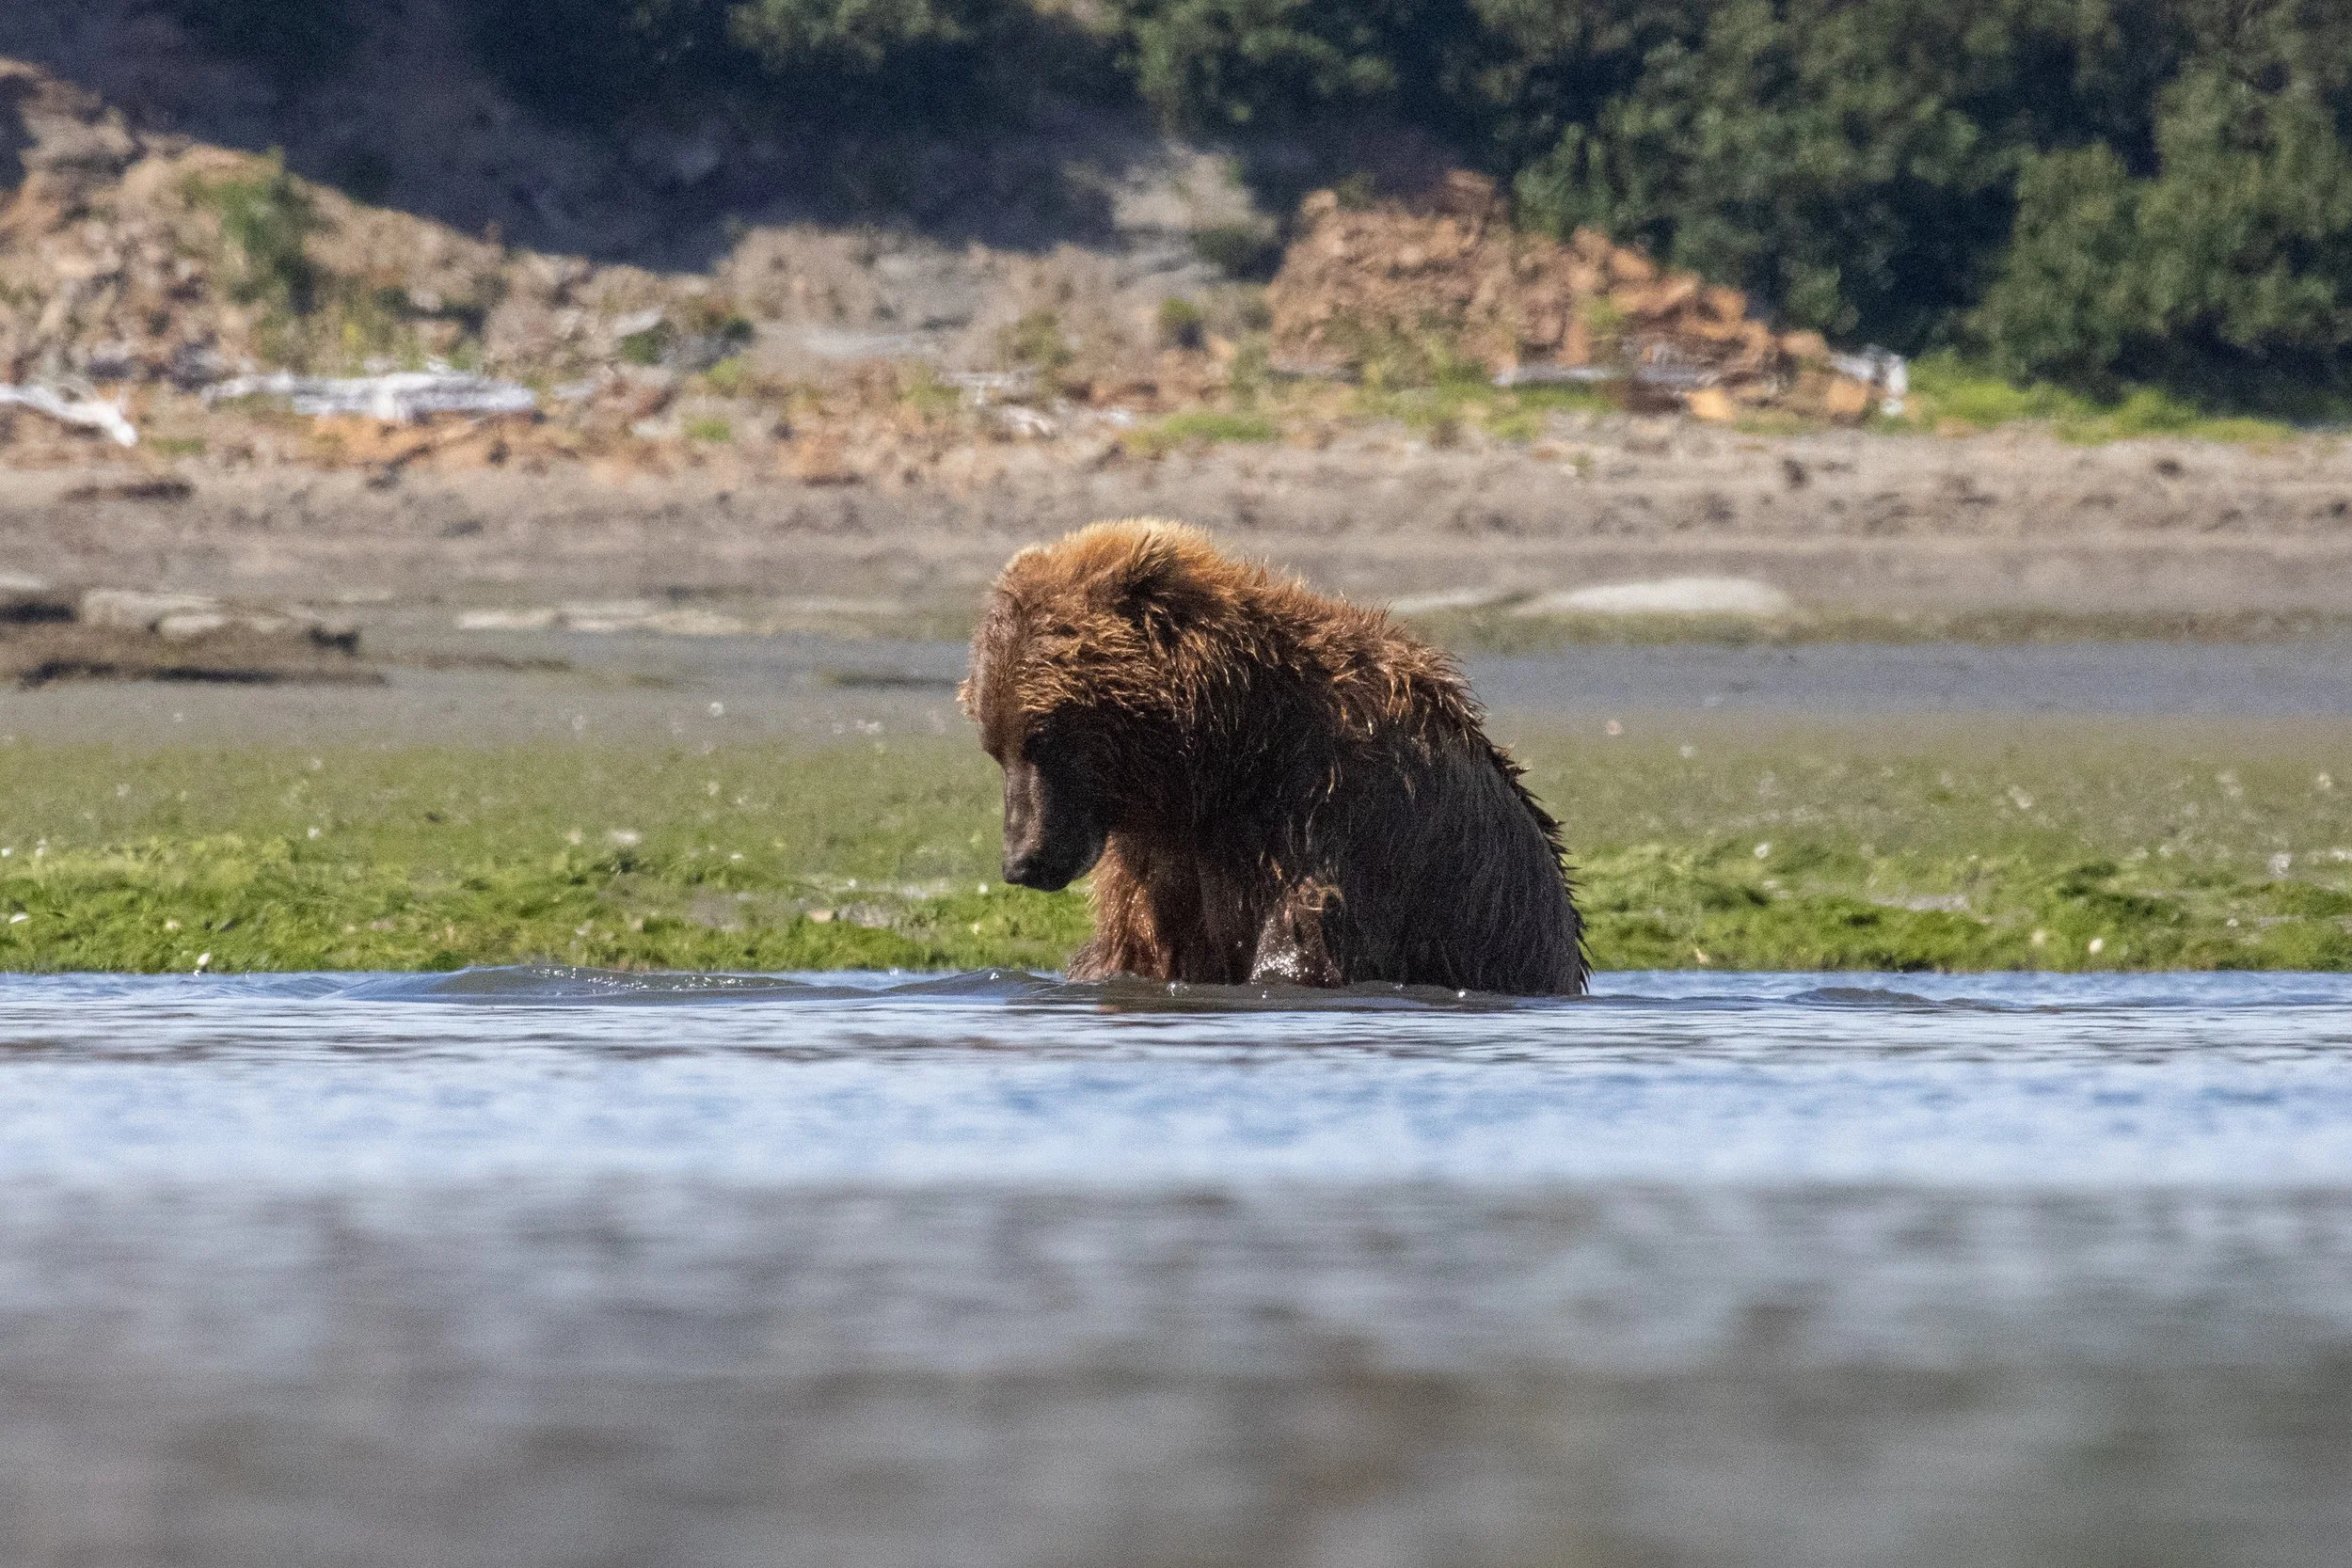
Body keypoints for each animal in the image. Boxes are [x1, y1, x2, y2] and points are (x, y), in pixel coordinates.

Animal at [960, 520, 1586, 995]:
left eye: (1046, 736)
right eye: (997, 746)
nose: (1023, 861)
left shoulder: (1330, 810)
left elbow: (1304, 943)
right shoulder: (1160, 858)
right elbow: (1136, 950)